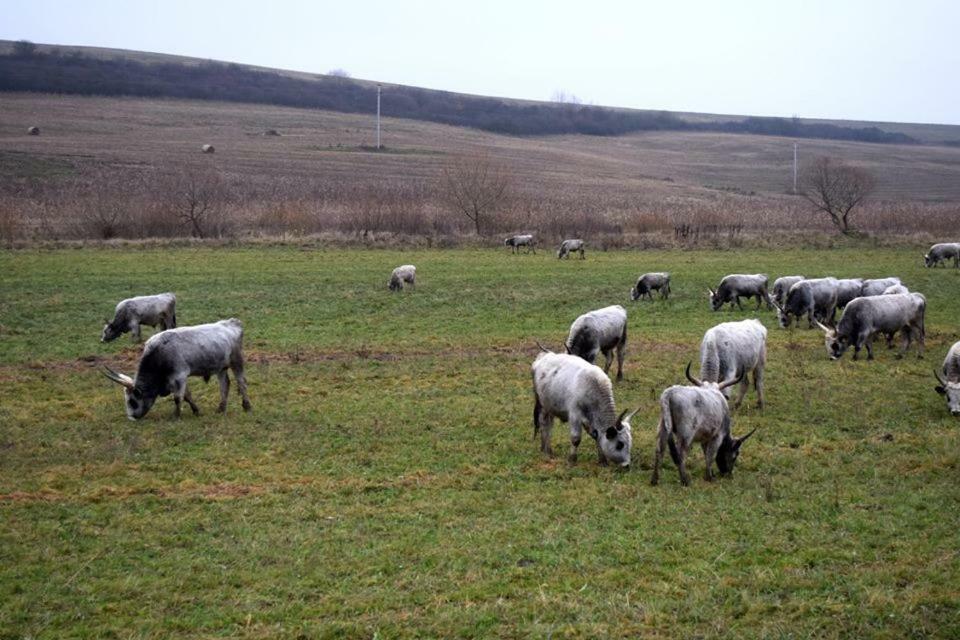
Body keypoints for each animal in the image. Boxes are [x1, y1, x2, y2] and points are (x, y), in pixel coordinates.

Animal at [101, 318, 253, 420]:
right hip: (221, 367)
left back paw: (246, 406)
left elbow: (177, 397)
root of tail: (232, 322)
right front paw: (196, 410)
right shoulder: (177, 378)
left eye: (132, 401)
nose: (131, 417)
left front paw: (176, 416)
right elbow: (187, 395)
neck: (159, 353)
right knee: (225, 385)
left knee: (242, 382)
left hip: (236, 362)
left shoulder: (179, 376)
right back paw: (221, 409)